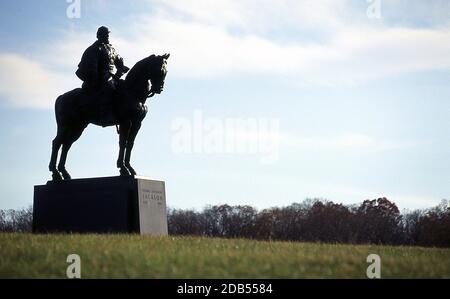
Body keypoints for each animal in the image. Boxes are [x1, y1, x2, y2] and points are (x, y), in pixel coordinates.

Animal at [48, 52, 170, 182]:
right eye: (158, 69)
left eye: (166, 71)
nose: (159, 89)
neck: (132, 93)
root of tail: (61, 97)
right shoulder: (126, 122)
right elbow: (123, 143)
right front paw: (123, 168)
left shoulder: (137, 123)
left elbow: (130, 144)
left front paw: (130, 168)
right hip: (65, 126)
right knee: (56, 143)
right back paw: (55, 172)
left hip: (78, 127)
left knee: (66, 145)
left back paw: (64, 173)